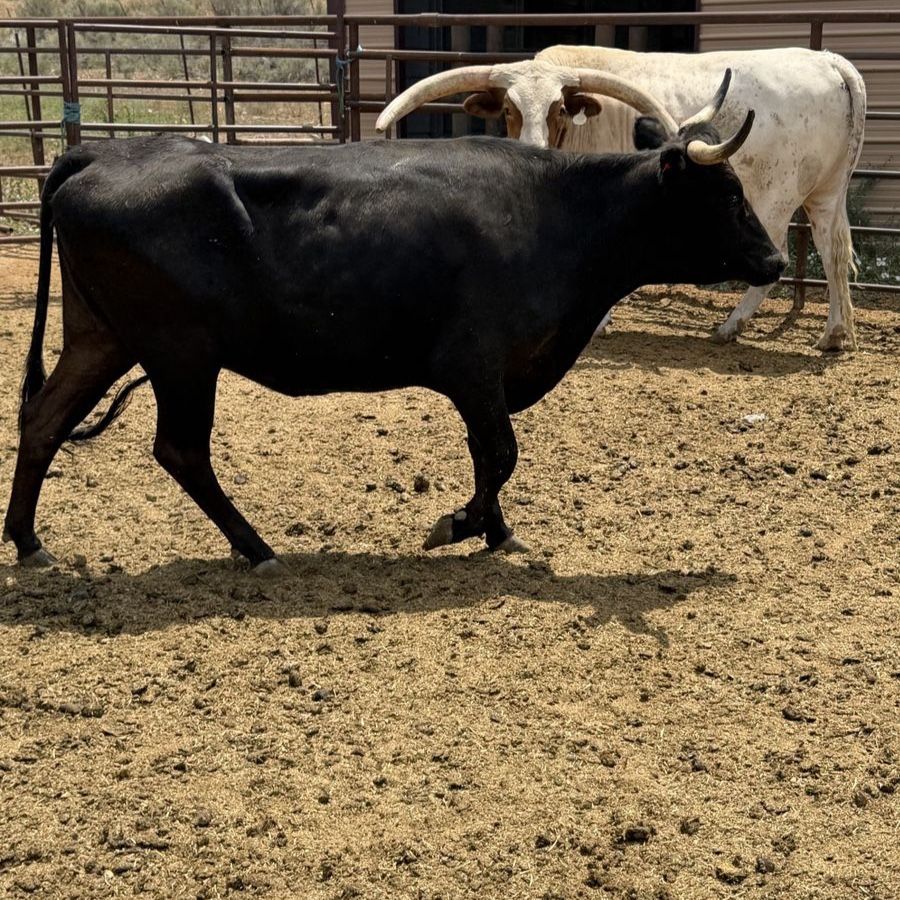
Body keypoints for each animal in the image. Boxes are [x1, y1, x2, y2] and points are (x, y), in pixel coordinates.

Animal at [3, 80, 783, 573]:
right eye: (726, 193)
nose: (775, 260)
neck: (555, 214)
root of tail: (100, 152)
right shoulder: (472, 365)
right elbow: (501, 453)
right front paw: (457, 526)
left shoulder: (484, 380)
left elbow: (485, 454)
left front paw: (497, 532)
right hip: (180, 355)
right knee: (181, 451)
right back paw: (257, 549)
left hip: (103, 337)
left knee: (44, 420)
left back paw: (29, 542)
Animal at [376, 47, 867, 352]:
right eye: (510, 109)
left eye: (559, 106)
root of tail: (828, 61)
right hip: (826, 193)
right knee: (833, 251)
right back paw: (835, 334)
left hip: (775, 195)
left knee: (779, 254)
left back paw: (731, 325)